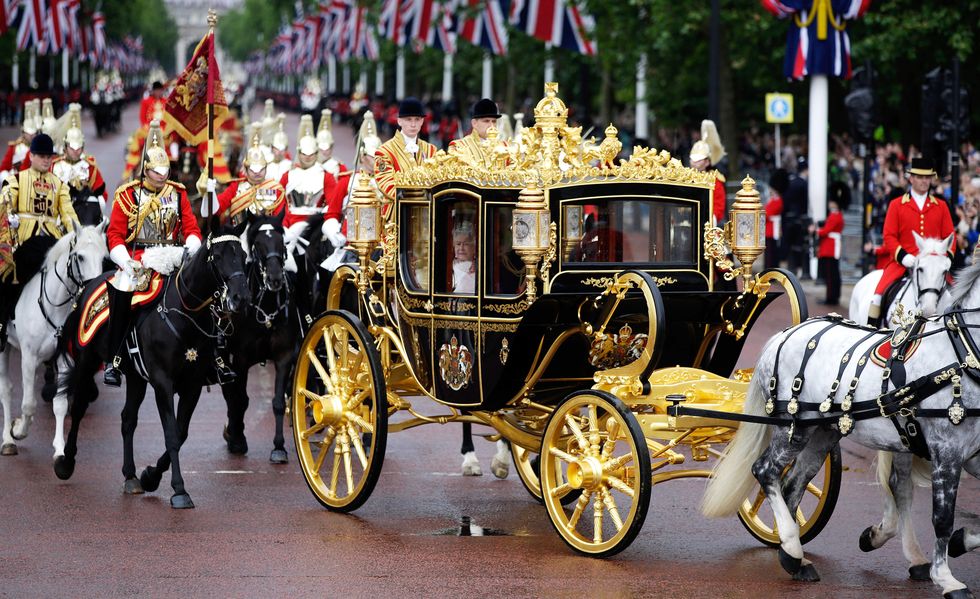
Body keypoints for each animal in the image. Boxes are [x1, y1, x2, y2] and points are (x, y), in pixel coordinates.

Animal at [0, 227, 107, 458]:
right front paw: (18, 430)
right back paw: (7, 440)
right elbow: (28, 404)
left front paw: (59, 450)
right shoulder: (28, 358)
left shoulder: (64, 358)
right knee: (6, 389)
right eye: (80, 256)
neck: (55, 306)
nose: (94, 289)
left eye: (104, 258)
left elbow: (60, 404)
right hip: (3, 348)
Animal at [53, 237, 249, 508]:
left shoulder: (192, 387)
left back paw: (130, 476)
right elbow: (171, 434)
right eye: (217, 257)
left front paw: (150, 476)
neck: (184, 314)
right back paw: (66, 462)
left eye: (243, 255)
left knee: (128, 419)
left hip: (136, 378)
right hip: (86, 362)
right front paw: (179, 490)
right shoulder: (162, 383)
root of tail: (88, 285)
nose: (241, 298)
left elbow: (180, 433)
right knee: (80, 407)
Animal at [221, 212, 300, 464]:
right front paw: (238, 439)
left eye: (281, 241)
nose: (275, 279)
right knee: (230, 394)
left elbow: (277, 402)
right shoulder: (241, 358)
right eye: (257, 244)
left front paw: (279, 447)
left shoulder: (284, 357)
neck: (267, 308)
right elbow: (240, 399)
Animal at [700, 260, 980, 596]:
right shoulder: (946, 449)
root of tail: (783, 335)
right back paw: (792, 549)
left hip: (824, 433)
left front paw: (959, 543)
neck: (962, 354)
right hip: (794, 429)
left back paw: (794, 554)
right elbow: (942, 516)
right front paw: (948, 578)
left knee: (791, 485)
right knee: (765, 471)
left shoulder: (970, 455)